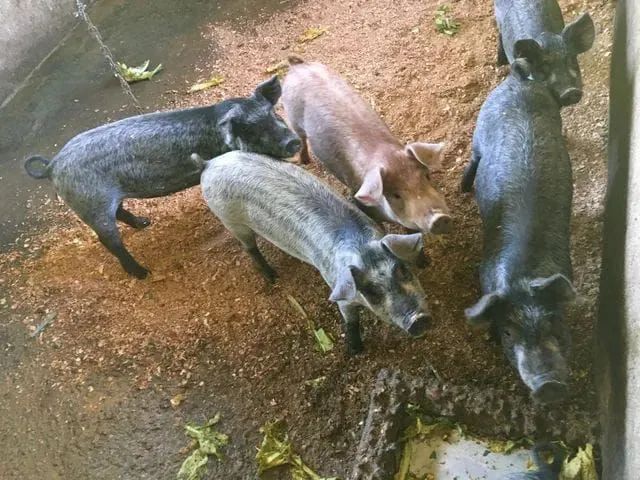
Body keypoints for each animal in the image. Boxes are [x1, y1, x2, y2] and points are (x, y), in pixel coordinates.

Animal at [24, 76, 301, 279]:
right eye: (252, 129)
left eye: (273, 114)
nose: (293, 142)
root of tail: (53, 165)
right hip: (91, 204)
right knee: (108, 240)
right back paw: (142, 273)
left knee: (120, 212)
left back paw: (144, 223)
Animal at [199, 151, 432, 355]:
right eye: (372, 291)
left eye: (402, 270)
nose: (418, 320)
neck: (360, 246)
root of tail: (209, 163)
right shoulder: (338, 289)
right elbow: (351, 320)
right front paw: (354, 352)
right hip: (231, 221)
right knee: (250, 248)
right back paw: (273, 277)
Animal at [282, 57, 451, 234]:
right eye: (396, 195)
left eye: (427, 177)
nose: (440, 218)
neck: (386, 154)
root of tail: (298, 65)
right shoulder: (361, 203)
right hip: (292, 117)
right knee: (301, 139)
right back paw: (305, 161)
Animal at [460, 60, 576, 404]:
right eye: (510, 332)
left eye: (554, 321)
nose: (548, 385)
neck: (524, 275)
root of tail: (518, 79)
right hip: (480, 130)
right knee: (473, 158)